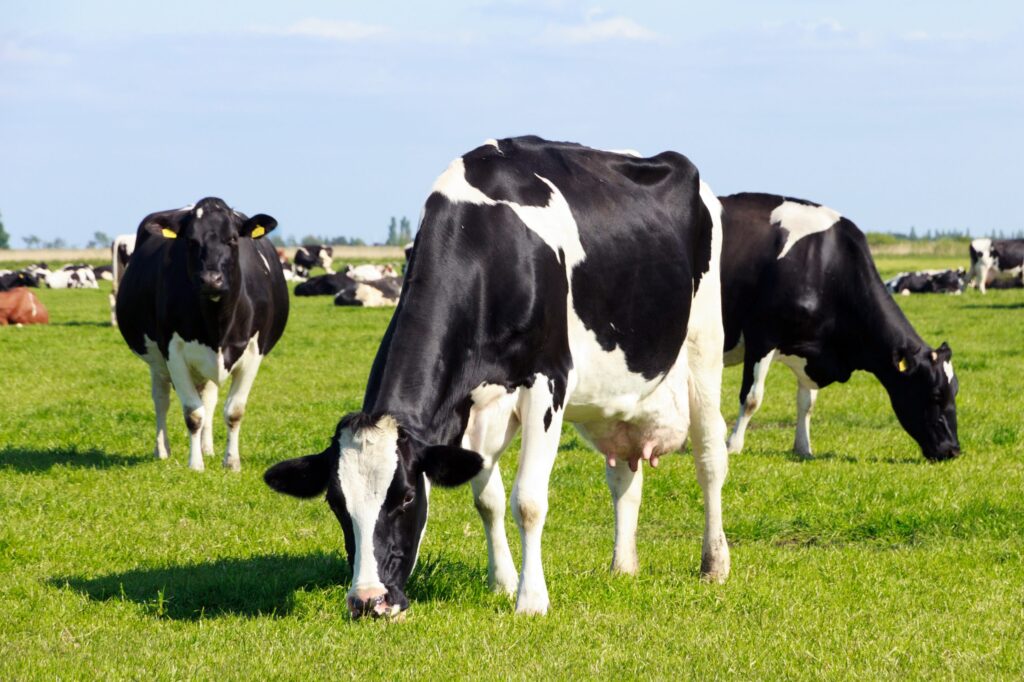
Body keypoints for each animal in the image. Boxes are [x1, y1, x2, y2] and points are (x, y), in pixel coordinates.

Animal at [116, 197, 289, 472]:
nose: (211, 279)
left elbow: (234, 411)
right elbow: (192, 414)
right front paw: (195, 464)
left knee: (209, 398)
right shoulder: (173, 352)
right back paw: (162, 450)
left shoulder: (254, 352)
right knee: (162, 400)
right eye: (190, 241)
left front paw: (231, 462)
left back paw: (207, 447)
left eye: (232, 239)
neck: (217, 322)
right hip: (156, 361)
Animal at [264, 136, 730, 619]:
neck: (486, 243)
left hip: (704, 343)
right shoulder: (470, 402)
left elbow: (527, 500)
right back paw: (622, 566)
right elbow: (486, 499)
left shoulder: (549, 379)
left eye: (406, 497)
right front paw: (502, 584)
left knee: (710, 457)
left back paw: (714, 564)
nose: (368, 601)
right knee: (624, 476)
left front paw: (531, 600)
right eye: (336, 503)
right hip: (618, 397)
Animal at [717, 192, 959, 461]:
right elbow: (752, 397)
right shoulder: (762, 335)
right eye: (934, 394)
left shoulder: (809, 349)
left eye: (955, 391)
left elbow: (807, 403)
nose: (953, 449)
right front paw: (732, 446)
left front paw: (804, 448)